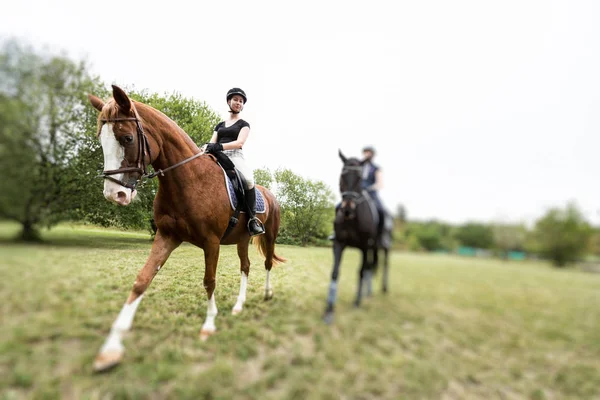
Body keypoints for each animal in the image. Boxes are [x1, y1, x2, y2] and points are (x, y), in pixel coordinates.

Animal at [89, 84, 286, 372]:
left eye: (127, 138)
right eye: (101, 140)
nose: (115, 195)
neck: (188, 179)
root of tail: (269, 194)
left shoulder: (211, 242)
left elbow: (209, 281)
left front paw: (208, 325)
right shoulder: (167, 236)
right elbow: (141, 281)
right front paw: (110, 349)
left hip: (269, 235)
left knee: (268, 262)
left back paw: (268, 294)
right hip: (242, 240)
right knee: (246, 267)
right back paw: (239, 305)